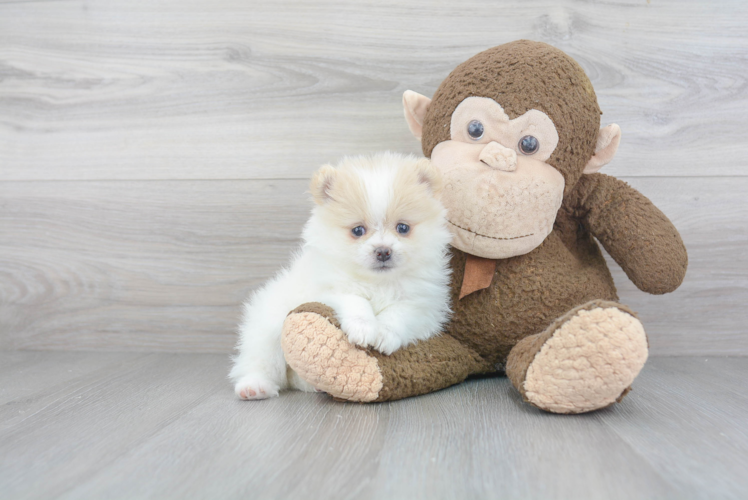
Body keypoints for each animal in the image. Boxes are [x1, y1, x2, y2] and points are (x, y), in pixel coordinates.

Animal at [229, 150, 450, 400]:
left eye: (403, 228)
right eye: (358, 230)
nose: (383, 251)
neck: (379, 282)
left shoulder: (423, 303)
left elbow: (399, 313)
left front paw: (383, 334)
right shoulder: (328, 289)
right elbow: (355, 300)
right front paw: (363, 328)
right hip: (267, 329)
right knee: (260, 362)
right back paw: (254, 386)